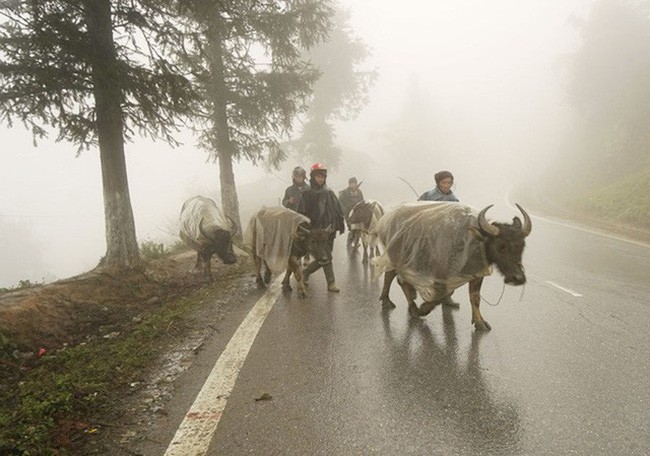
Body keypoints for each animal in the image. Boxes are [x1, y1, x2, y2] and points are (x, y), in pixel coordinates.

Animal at [372, 201, 528, 330]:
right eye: (501, 246)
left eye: (521, 246)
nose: (518, 278)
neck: (473, 242)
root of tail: (387, 218)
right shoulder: (441, 275)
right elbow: (440, 296)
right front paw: (423, 308)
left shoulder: (476, 274)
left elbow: (475, 298)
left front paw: (479, 322)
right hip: (397, 256)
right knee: (394, 277)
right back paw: (397, 304)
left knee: (397, 277)